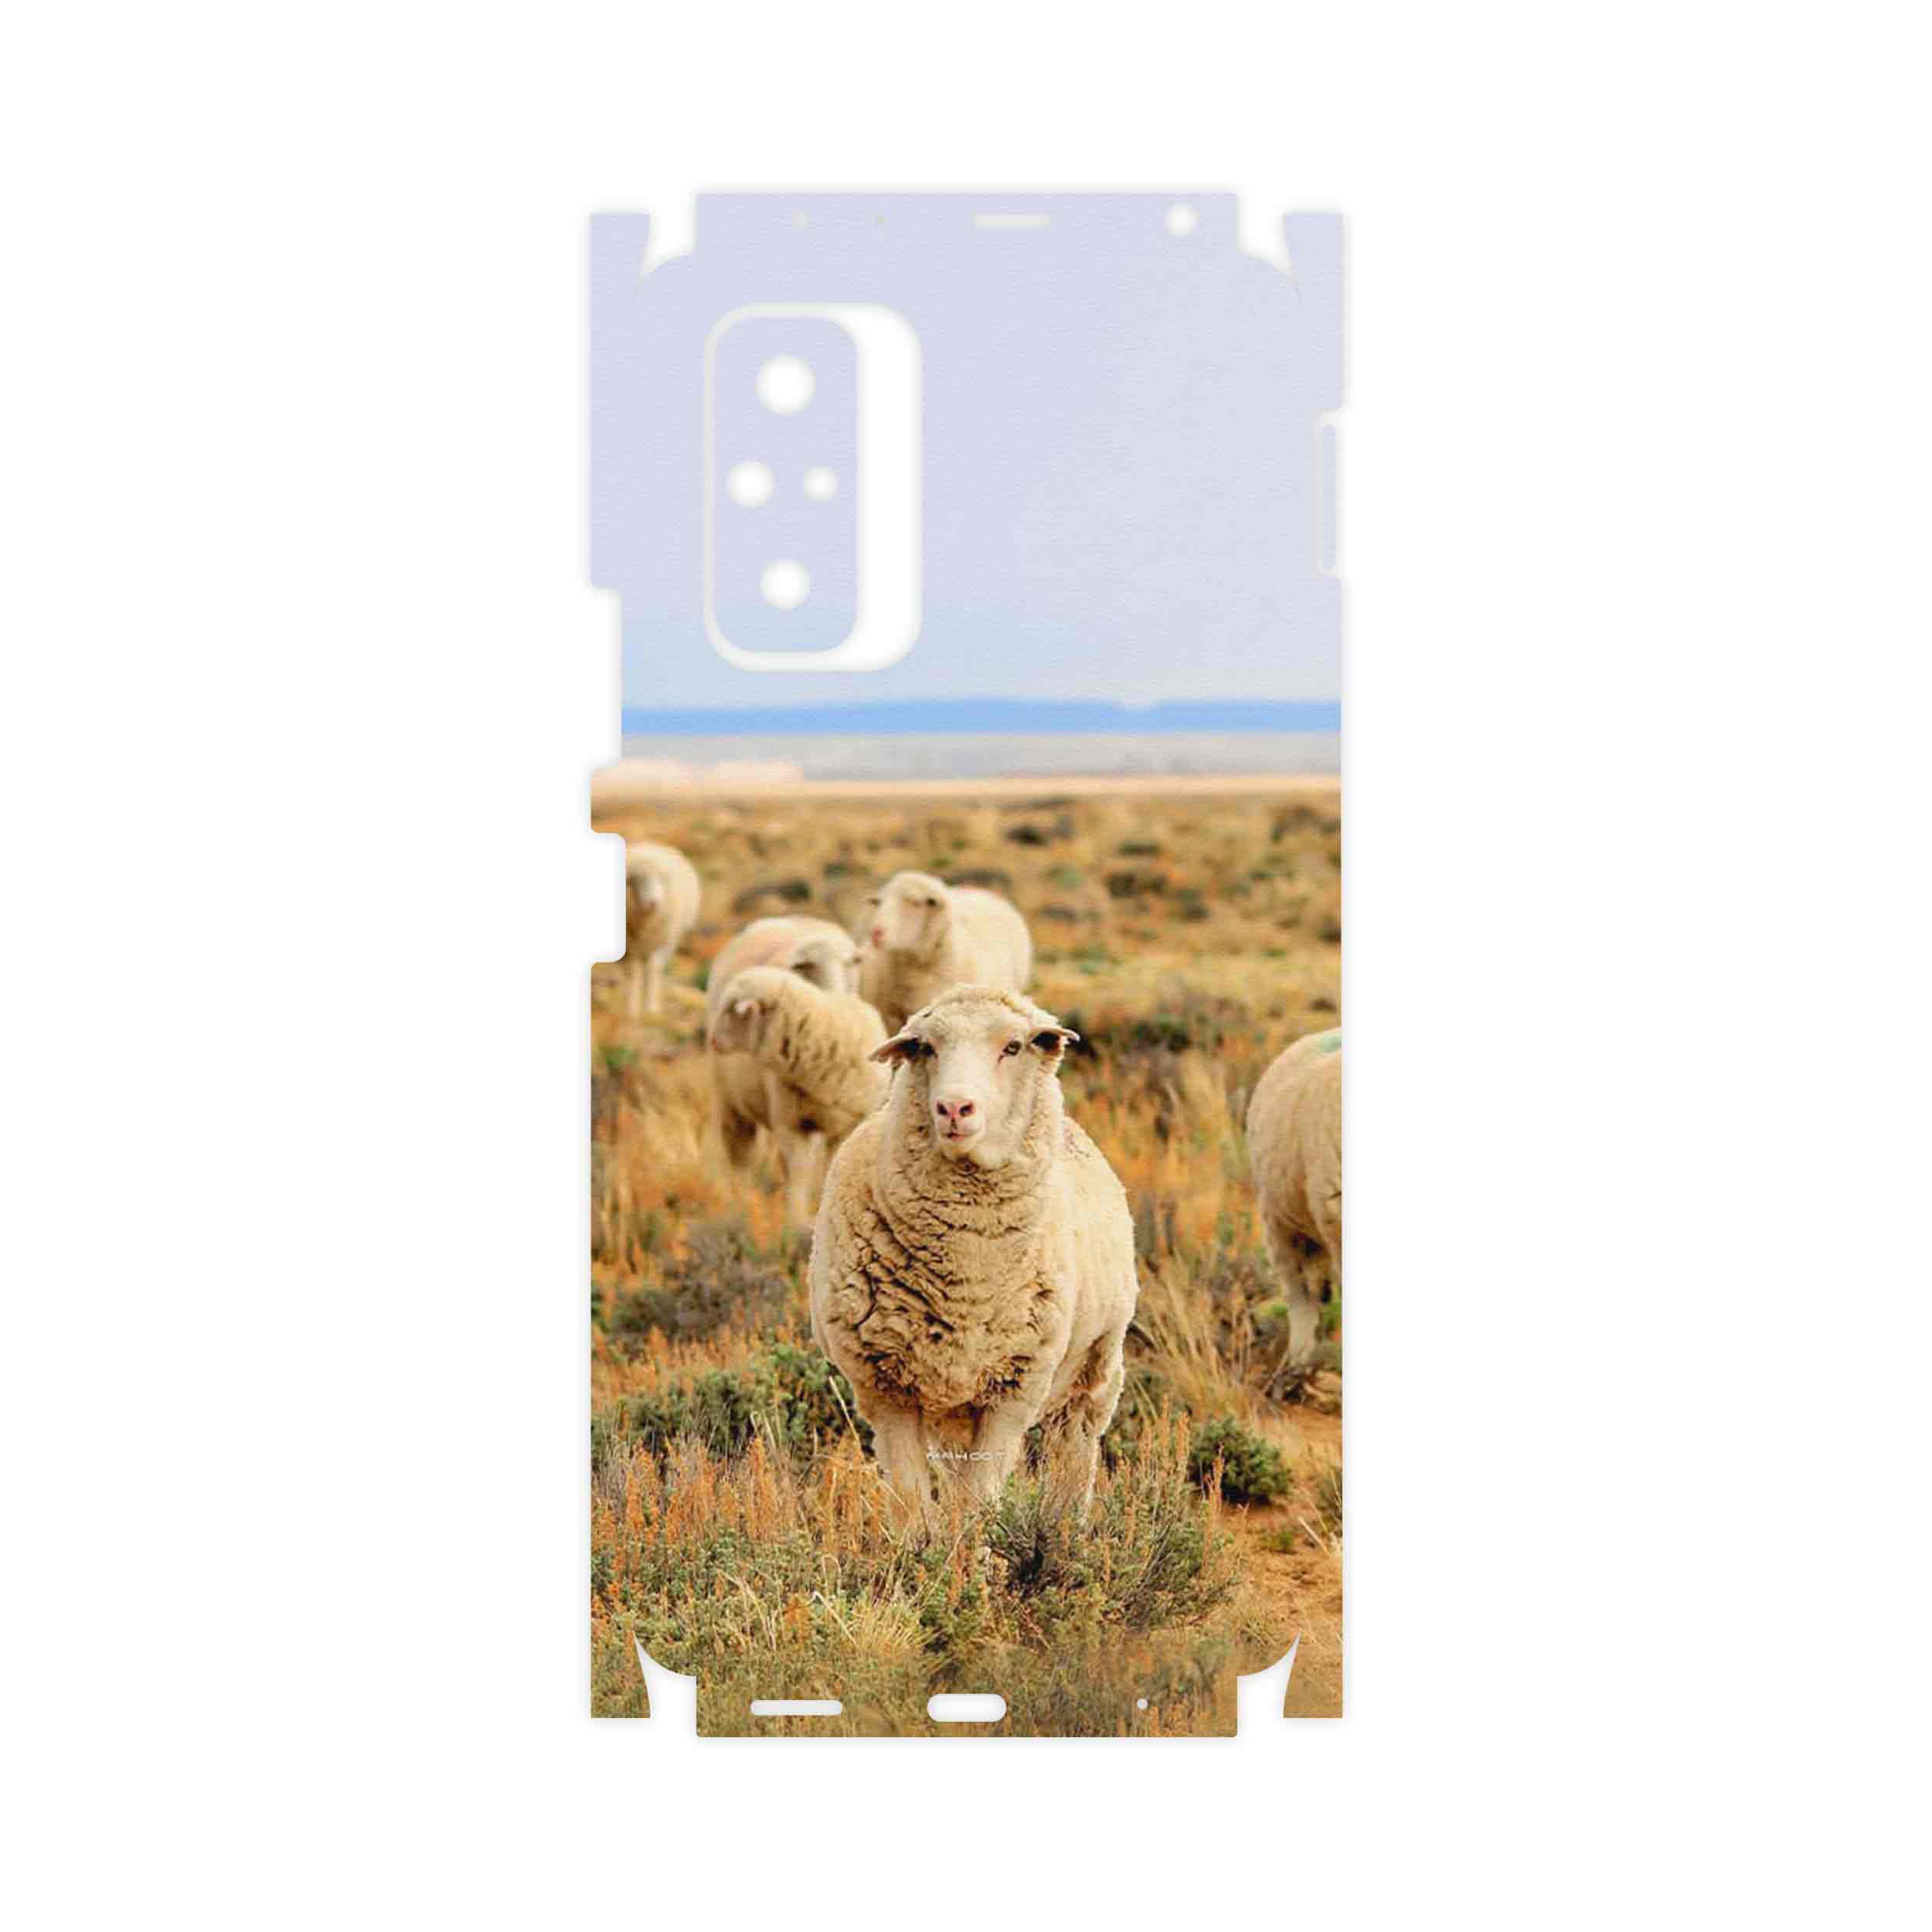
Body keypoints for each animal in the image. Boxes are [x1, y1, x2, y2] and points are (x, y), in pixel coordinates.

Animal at [622, 840, 701, 1019]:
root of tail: (651, 845)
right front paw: (632, 1008)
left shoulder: (663, 942)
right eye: (638, 880)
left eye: (661, 880)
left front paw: (651, 1009)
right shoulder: (631, 945)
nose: (652, 902)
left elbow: (653, 970)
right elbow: (635, 971)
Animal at [707, 966, 889, 1226]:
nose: (713, 1040)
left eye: (733, 1010)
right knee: (741, 1158)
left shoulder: (849, 1124)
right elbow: (799, 1173)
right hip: (733, 1108)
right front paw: (797, 1220)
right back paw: (741, 1206)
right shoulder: (792, 1125)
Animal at [809, 985, 1137, 1525]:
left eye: (1014, 1047)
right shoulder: (885, 1389)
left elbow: (979, 1503)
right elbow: (913, 1503)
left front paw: (977, 1549)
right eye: (925, 1047)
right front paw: (923, 1548)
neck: (966, 1275)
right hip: (952, 1407)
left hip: (1095, 1366)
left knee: (1074, 1447)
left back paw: (1066, 1527)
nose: (954, 1108)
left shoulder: (1013, 1389)